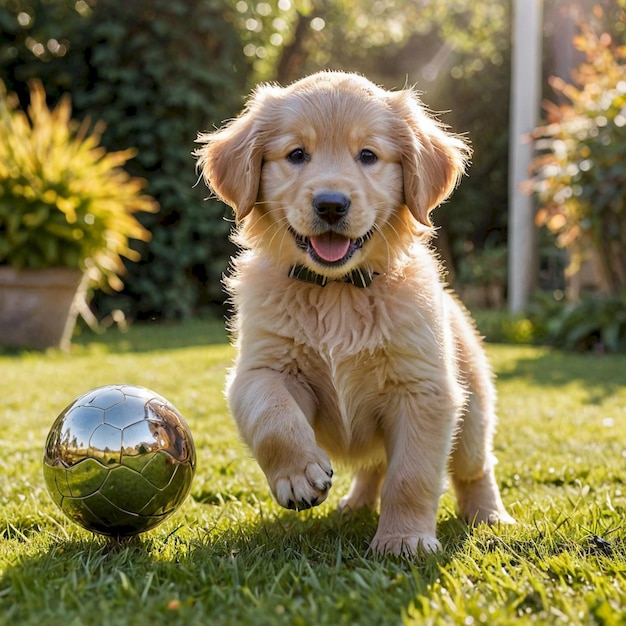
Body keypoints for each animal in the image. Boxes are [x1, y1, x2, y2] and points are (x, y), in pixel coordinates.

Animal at [195, 70, 512, 552]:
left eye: (368, 155)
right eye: (296, 154)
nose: (331, 204)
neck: (338, 292)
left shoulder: (424, 391)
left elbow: (412, 475)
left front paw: (403, 539)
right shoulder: (261, 367)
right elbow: (271, 415)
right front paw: (298, 475)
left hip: (472, 414)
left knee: (475, 468)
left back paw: (490, 516)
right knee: (373, 466)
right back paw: (355, 505)